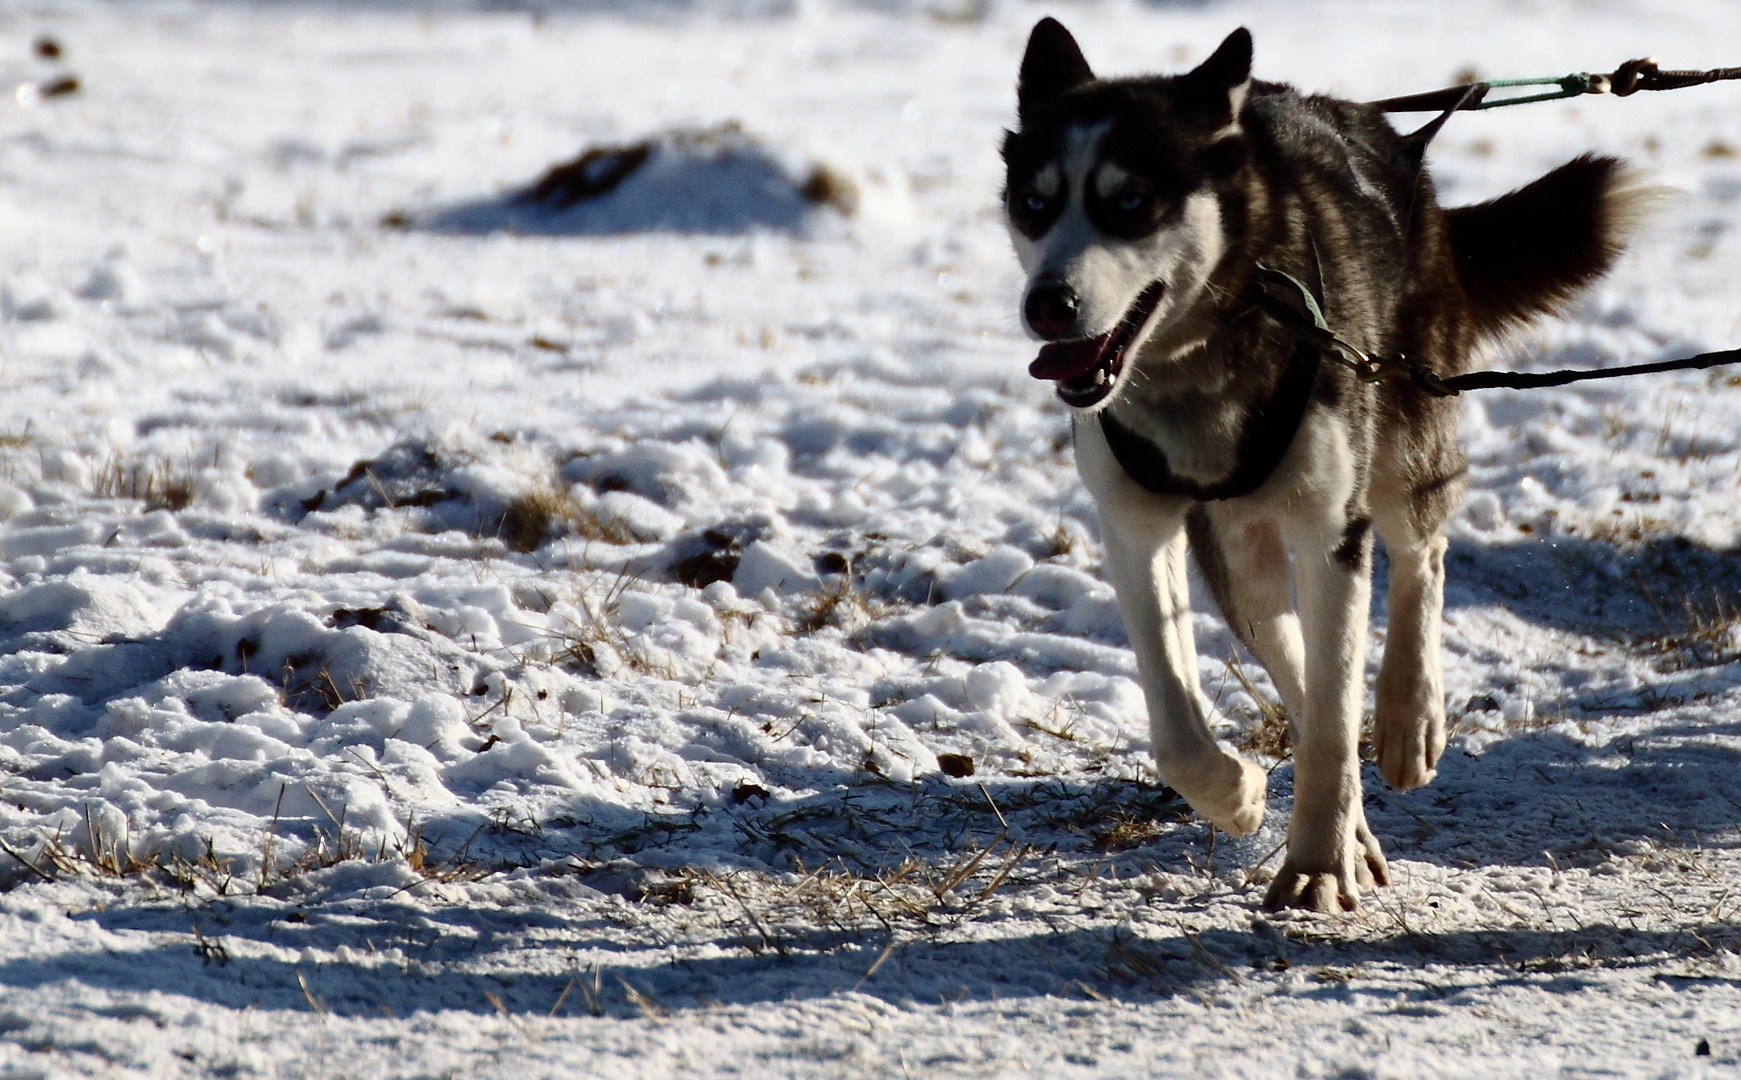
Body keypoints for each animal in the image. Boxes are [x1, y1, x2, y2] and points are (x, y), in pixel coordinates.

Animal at [1009, 21, 1643, 905]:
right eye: (1034, 203)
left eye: (1130, 202)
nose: (1047, 305)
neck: (1194, 367)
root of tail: (1396, 145)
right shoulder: (1136, 527)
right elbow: (1180, 731)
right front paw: (1241, 794)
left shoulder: (1330, 530)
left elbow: (1337, 718)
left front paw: (1313, 864)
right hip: (1239, 557)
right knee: (1293, 658)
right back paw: (1354, 823)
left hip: (1400, 446)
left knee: (1419, 558)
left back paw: (1408, 720)